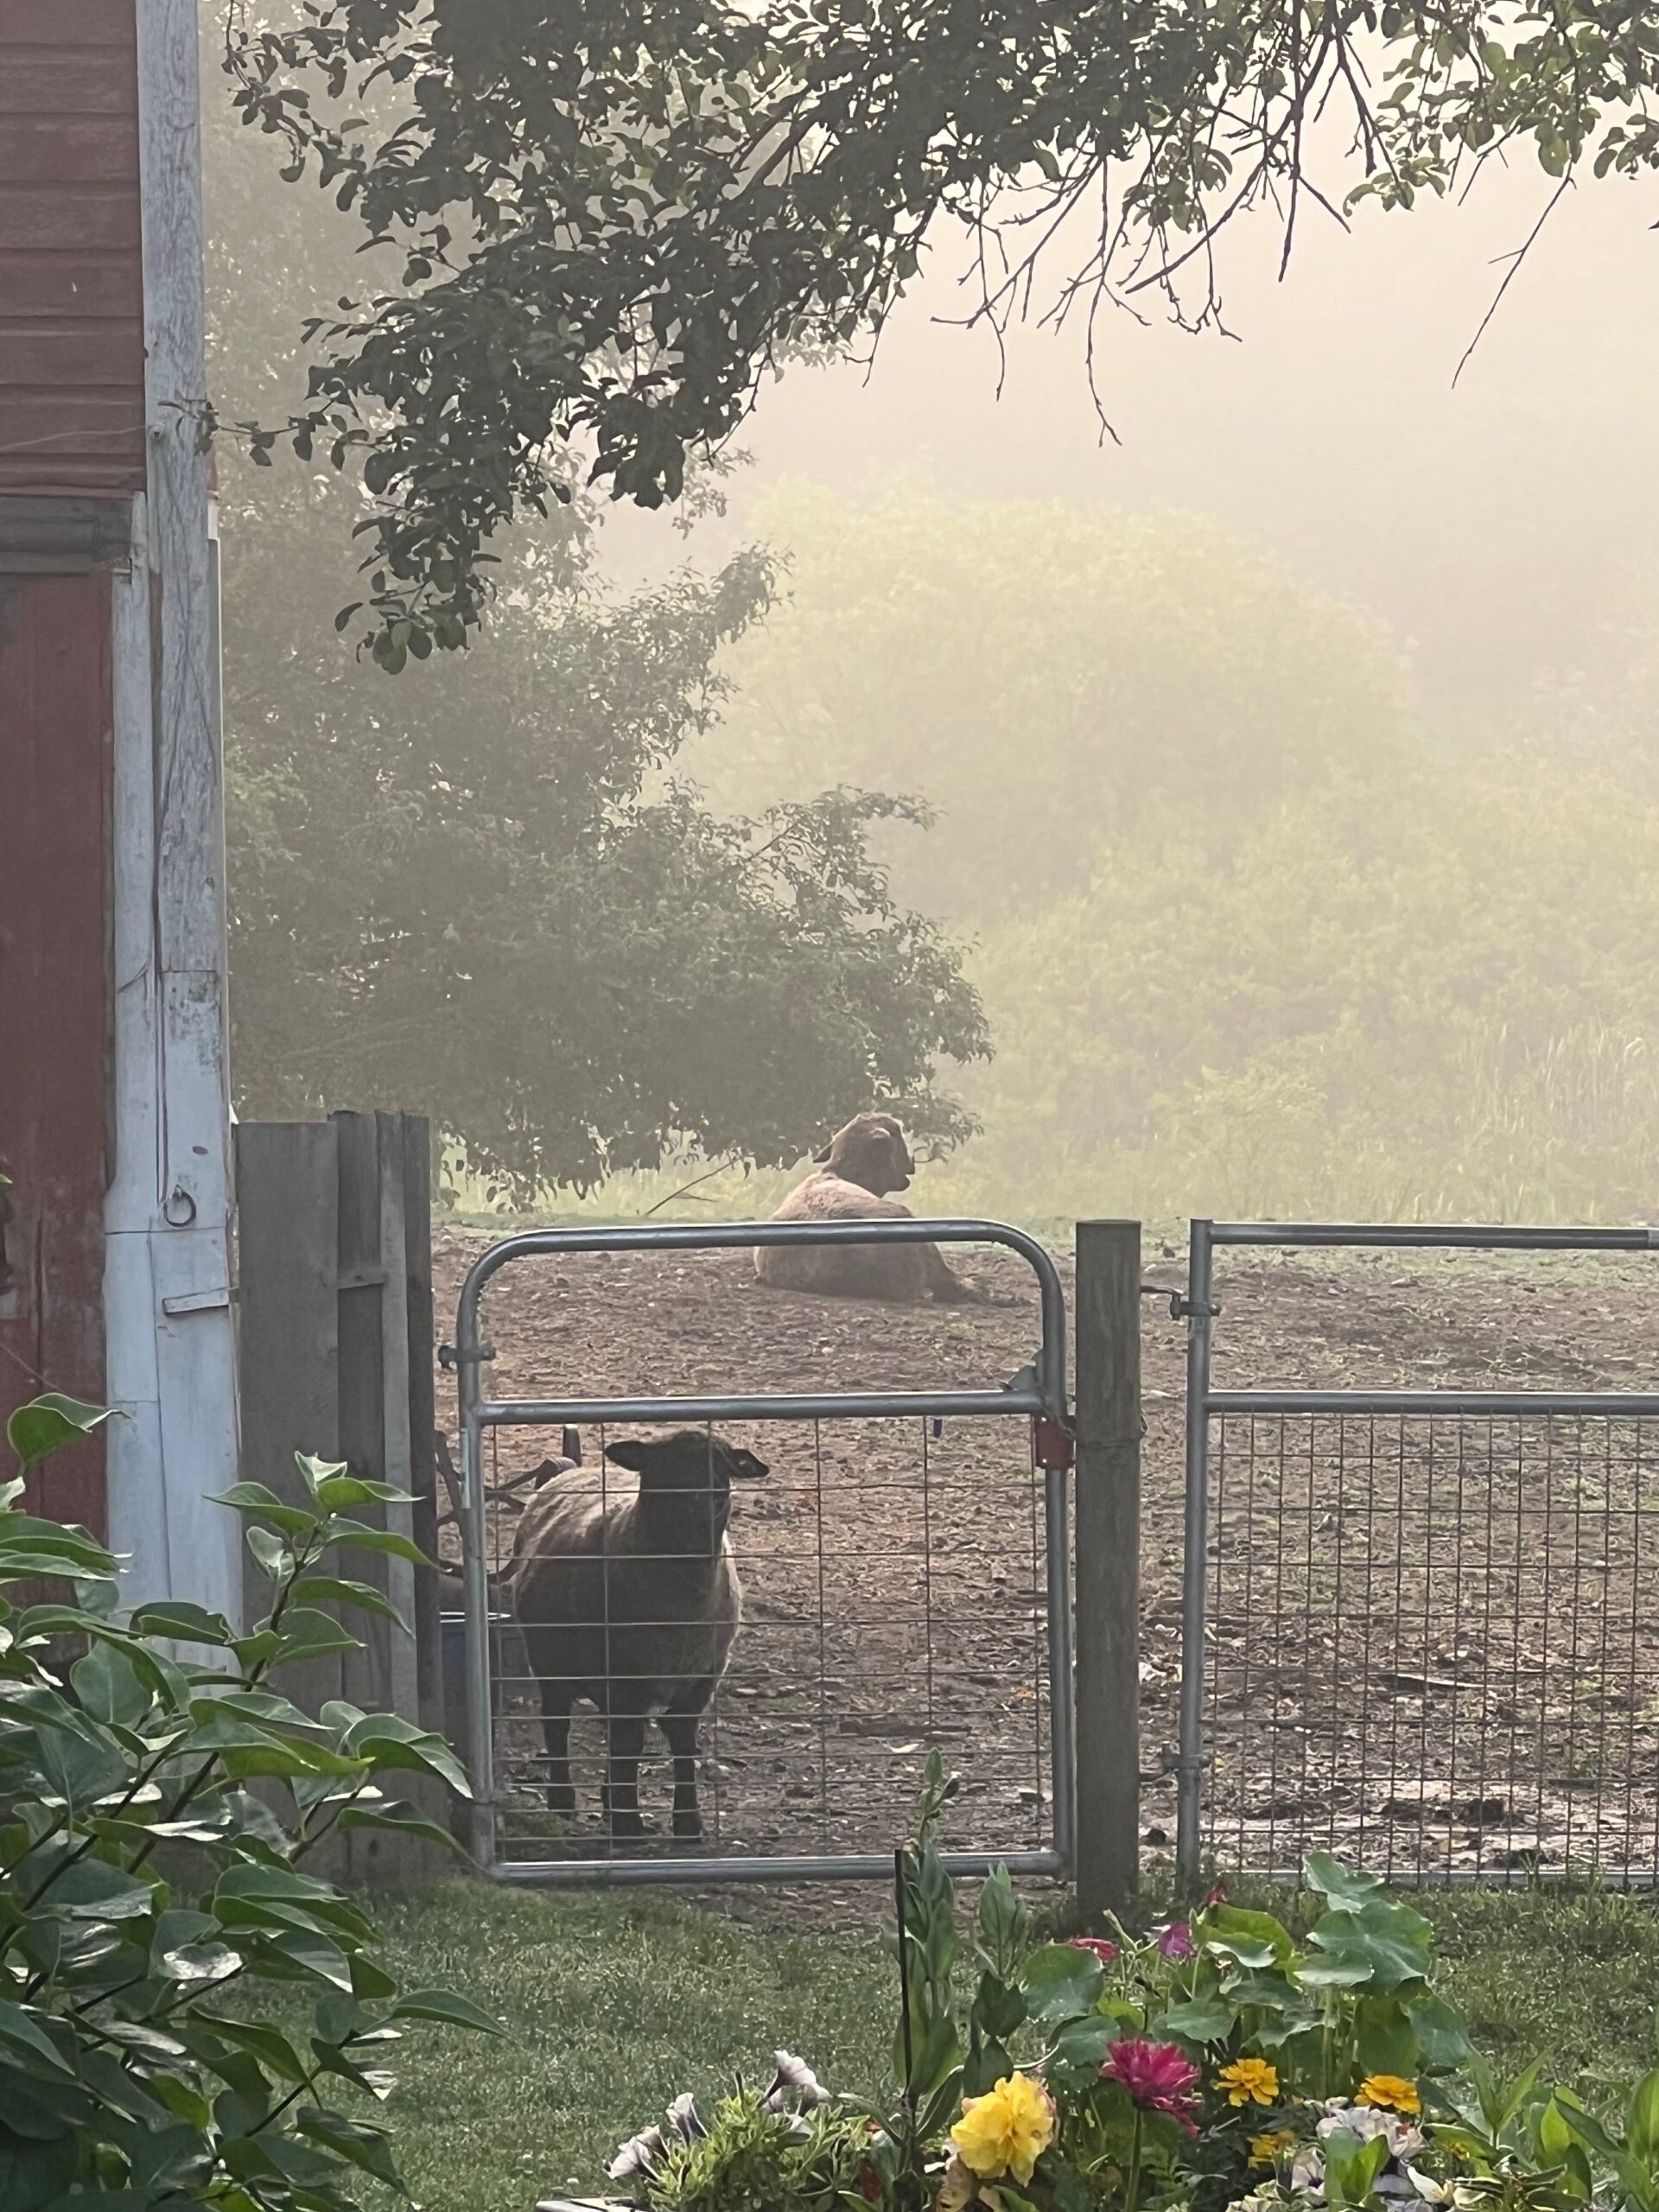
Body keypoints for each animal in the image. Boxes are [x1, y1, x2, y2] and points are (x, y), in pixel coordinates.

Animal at [511, 1424, 769, 1840]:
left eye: (723, 1466)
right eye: (661, 1468)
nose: (703, 1500)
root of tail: (570, 1470)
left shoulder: (703, 1675)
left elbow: (681, 1738)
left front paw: (688, 1821)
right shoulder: (625, 1678)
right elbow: (630, 1741)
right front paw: (629, 1821)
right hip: (551, 1664)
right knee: (558, 1725)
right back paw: (563, 1801)